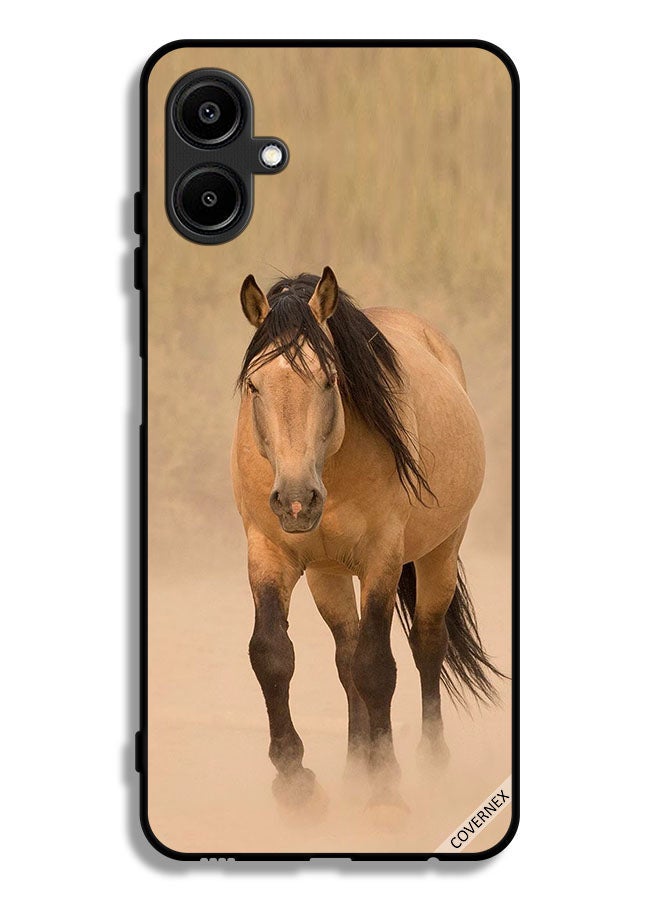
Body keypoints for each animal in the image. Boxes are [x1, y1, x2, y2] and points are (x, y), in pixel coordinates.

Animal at [231, 266, 501, 818]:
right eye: (254, 384)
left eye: (330, 379)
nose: (296, 501)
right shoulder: (270, 553)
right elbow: (272, 654)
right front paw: (295, 780)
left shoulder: (382, 560)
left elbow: (378, 667)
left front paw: (386, 789)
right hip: (327, 574)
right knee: (345, 655)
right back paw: (357, 766)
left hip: (440, 552)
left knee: (425, 645)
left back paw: (429, 763)